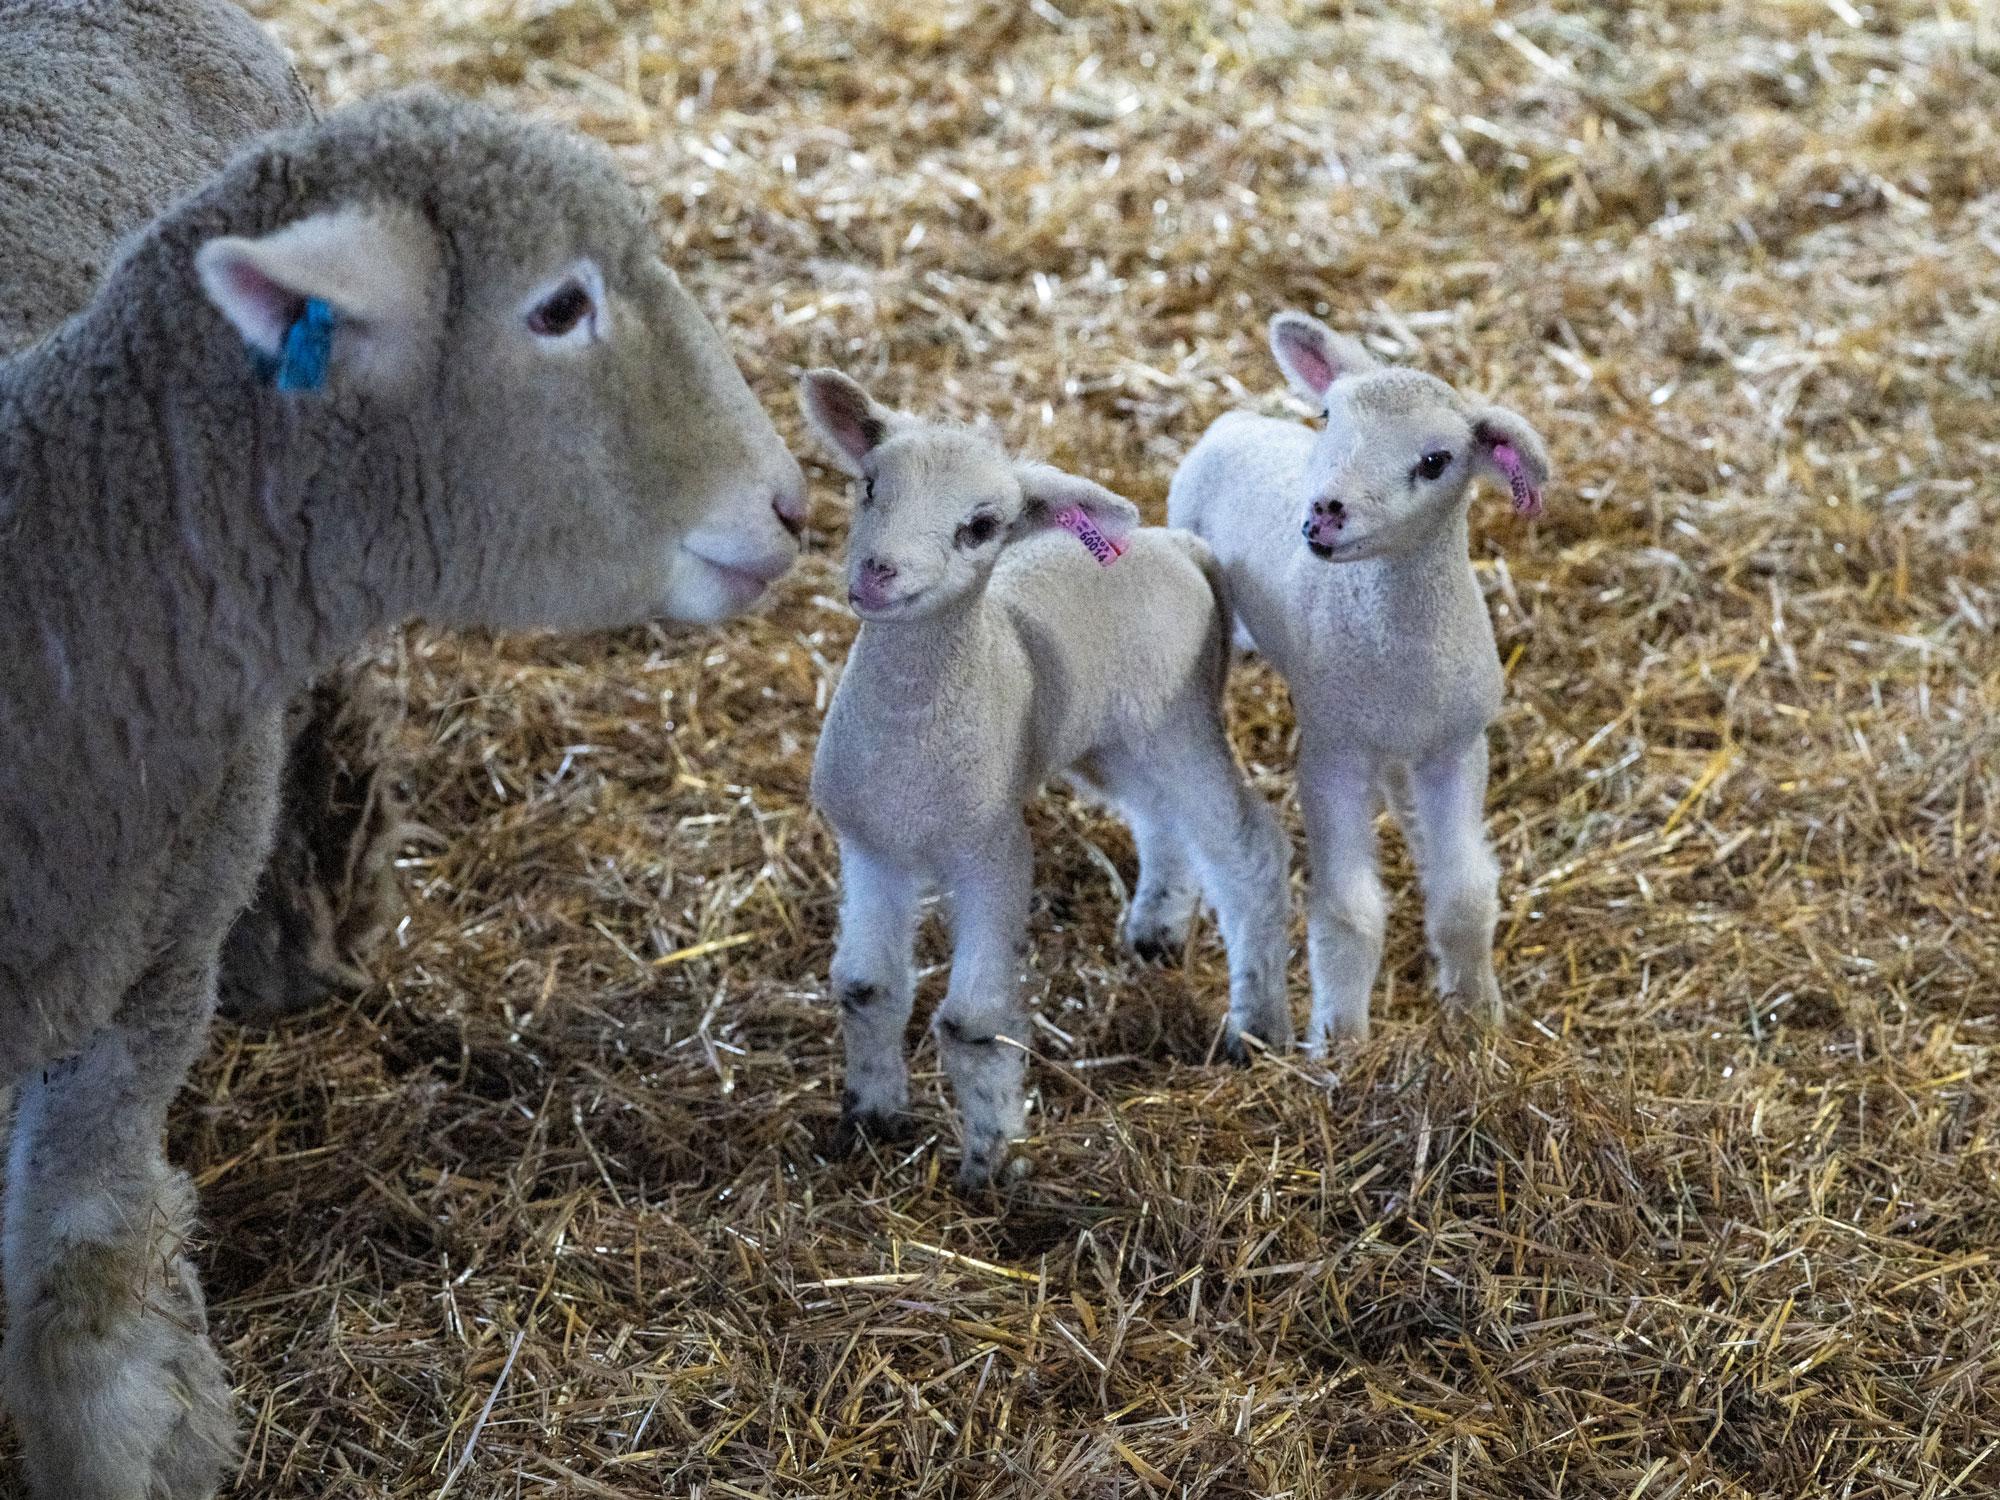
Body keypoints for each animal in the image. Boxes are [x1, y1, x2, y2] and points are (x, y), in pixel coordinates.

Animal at [799, 369, 1292, 1188]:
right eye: (869, 486)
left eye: (980, 526)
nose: (877, 573)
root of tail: (1177, 543)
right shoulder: (869, 847)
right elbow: (866, 988)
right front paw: (870, 1119)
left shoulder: (993, 854)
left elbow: (972, 1023)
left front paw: (991, 1163)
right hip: (1112, 738)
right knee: (1162, 819)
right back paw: (1158, 928)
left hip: (1179, 717)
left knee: (1247, 845)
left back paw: (1256, 1027)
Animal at [1167, 311, 1552, 1051]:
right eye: (1326, 416)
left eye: (1435, 461)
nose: (1324, 513)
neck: (1399, 655)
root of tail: (1236, 420)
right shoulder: (1331, 756)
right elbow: (1349, 915)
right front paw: (1339, 1042)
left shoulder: (1457, 747)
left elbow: (1464, 895)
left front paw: (1476, 1017)